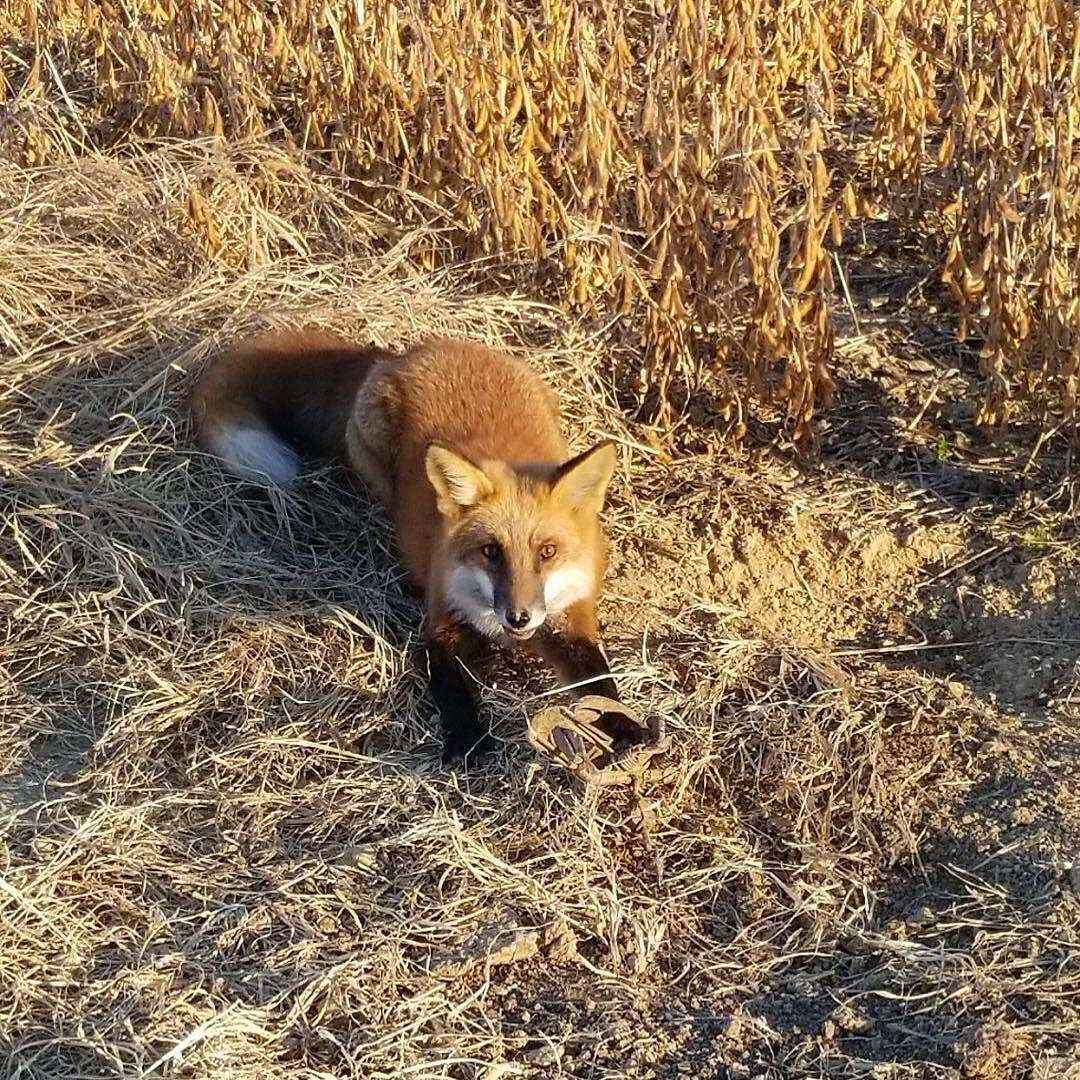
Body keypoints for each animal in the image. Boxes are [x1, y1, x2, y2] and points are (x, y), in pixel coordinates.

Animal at [189, 330, 620, 760]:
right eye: (490, 551)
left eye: (547, 553)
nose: (518, 617)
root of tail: (404, 354)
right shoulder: (442, 624)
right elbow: (452, 691)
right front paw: (467, 743)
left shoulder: (569, 622)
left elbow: (601, 683)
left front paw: (625, 733)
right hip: (375, 462)